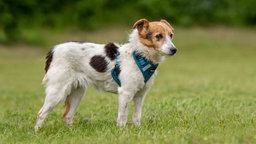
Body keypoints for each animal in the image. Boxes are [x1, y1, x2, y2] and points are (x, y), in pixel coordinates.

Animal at [34, 18, 176, 130]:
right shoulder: (125, 93)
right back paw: (37, 132)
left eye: (171, 35)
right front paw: (122, 132)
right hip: (57, 92)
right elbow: (122, 117)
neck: (140, 55)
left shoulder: (140, 95)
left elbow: (136, 116)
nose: (174, 50)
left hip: (77, 93)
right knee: (41, 113)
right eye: (158, 36)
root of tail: (53, 50)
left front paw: (137, 130)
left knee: (67, 115)